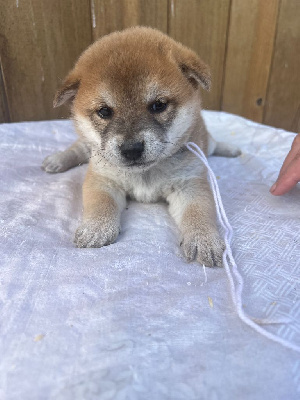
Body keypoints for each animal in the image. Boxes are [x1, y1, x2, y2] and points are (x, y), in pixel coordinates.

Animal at [42, 26, 239, 268]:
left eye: (159, 105)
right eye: (104, 111)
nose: (131, 149)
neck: (145, 175)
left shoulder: (189, 183)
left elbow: (198, 210)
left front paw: (204, 239)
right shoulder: (102, 178)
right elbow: (100, 202)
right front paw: (96, 227)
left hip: (205, 145)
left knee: (213, 144)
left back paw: (230, 149)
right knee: (78, 148)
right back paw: (58, 160)